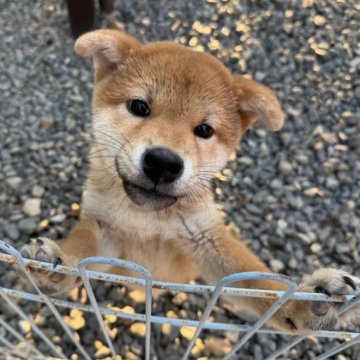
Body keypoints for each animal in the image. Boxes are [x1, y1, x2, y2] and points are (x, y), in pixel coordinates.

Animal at [20, 27, 360, 332]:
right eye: (139, 106)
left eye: (205, 130)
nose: (163, 163)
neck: (146, 218)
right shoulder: (104, 231)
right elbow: (82, 248)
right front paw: (59, 262)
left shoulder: (204, 239)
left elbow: (256, 281)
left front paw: (300, 304)